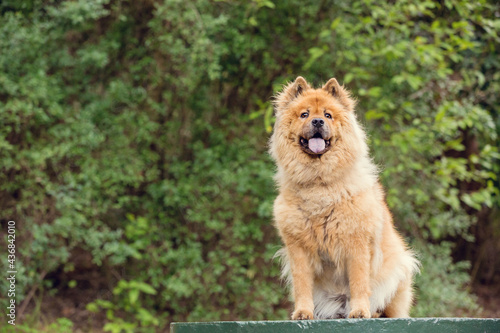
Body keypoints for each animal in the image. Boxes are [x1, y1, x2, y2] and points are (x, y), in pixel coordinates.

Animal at [270, 76, 418, 318]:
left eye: (328, 115)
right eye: (304, 114)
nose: (318, 122)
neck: (318, 183)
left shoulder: (356, 243)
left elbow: (358, 281)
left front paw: (359, 311)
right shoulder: (298, 249)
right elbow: (302, 285)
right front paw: (303, 312)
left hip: (398, 271)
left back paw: (373, 312)